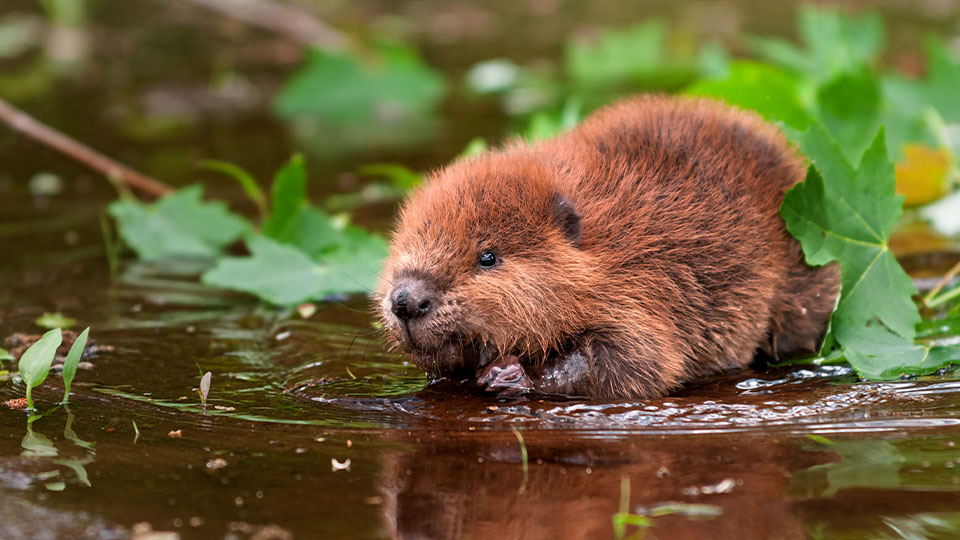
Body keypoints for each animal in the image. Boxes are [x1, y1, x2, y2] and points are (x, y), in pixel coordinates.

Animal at [376, 95, 840, 398]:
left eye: (487, 257)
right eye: (405, 245)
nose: (406, 300)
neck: (604, 247)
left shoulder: (645, 287)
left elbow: (634, 361)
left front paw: (510, 374)